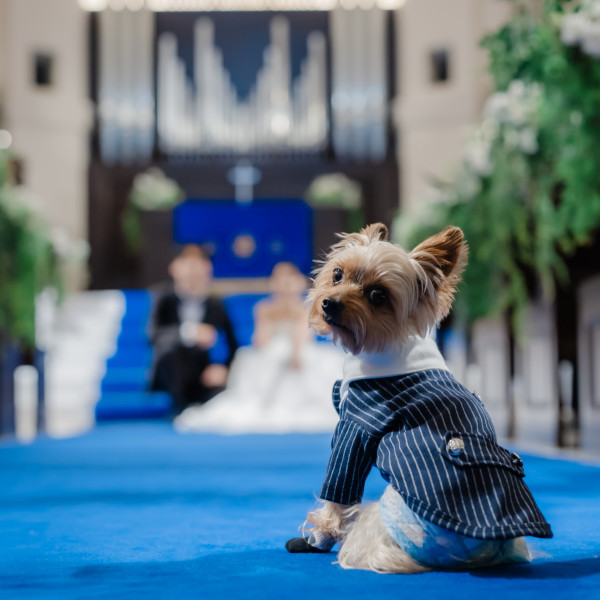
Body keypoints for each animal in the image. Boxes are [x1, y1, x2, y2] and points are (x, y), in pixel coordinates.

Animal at [286, 226, 552, 576]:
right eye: (337, 274)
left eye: (378, 296)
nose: (329, 303)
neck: (387, 347)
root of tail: (481, 552)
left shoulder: (355, 428)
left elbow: (338, 489)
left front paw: (321, 533)